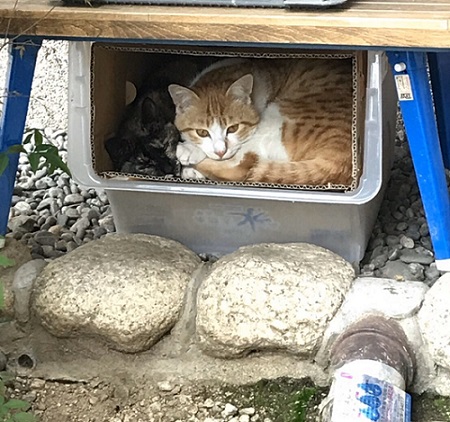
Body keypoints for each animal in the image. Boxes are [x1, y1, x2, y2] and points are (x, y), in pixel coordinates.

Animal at [167, 56, 354, 185]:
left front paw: (190, 151)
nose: (220, 152)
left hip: (277, 118)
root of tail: (340, 162)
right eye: (202, 132)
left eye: (233, 128)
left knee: (241, 167)